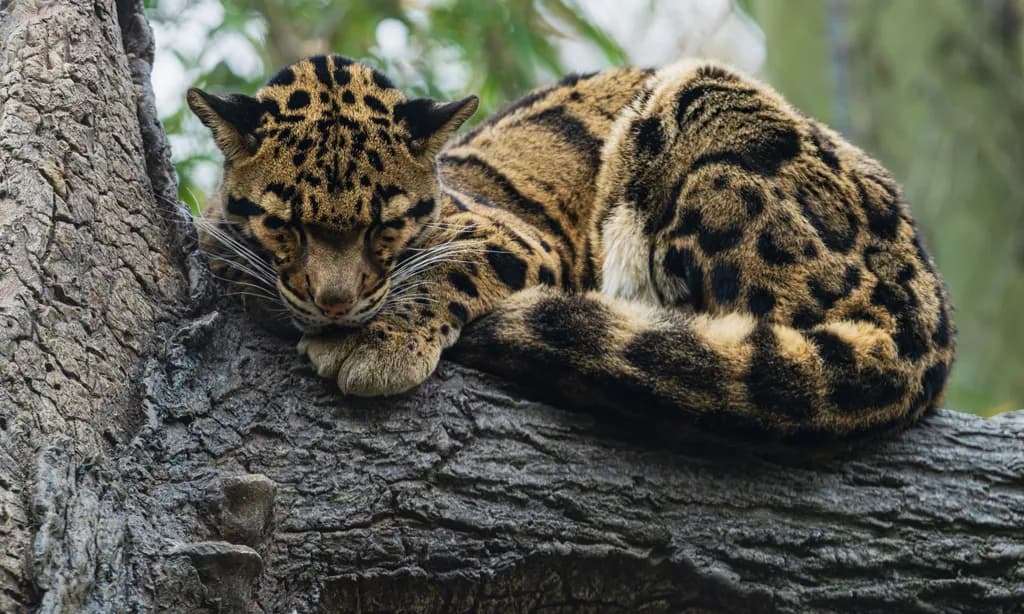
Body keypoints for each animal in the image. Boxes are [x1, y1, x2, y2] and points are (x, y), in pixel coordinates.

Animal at [186, 53, 955, 445]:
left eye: (387, 224)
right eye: (285, 224)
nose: (338, 304)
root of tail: (927, 313)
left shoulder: (517, 236)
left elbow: (453, 265)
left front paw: (378, 341)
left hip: (701, 108)